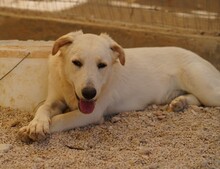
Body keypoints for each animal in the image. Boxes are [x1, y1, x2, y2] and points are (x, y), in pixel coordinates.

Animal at [18, 30, 220, 143]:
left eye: (102, 65)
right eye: (76, 62)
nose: (89, 93)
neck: (69, 89)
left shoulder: (91, 113)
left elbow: (59, 119)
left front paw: (29, 130)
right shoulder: (54, 99)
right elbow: (43, 109)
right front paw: (36, 124)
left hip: (206, 88)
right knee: (196, 100)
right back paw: (180, 102)